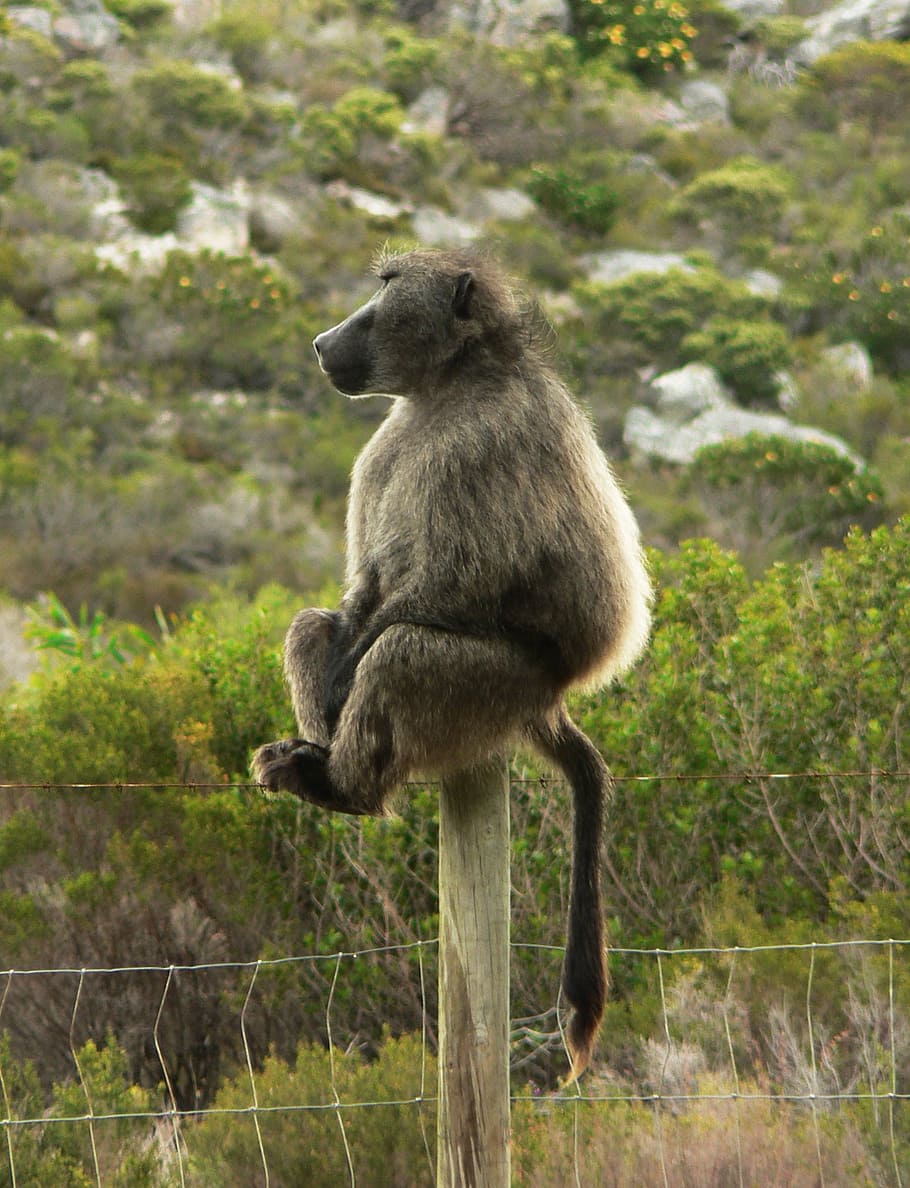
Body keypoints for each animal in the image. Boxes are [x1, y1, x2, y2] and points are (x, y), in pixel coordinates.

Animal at [251, 246, 652, 1079]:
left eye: (386, 289)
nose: (322, 341)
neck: (447, 386)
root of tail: (550, 700)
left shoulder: (483, 445)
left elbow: (451, 585)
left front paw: (351, 679)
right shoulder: (384, 450)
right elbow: (366, 588)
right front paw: (332, 669)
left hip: (494, 690)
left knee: (400, 652)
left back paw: (344, 788)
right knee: (313, 628)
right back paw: (314, 754)